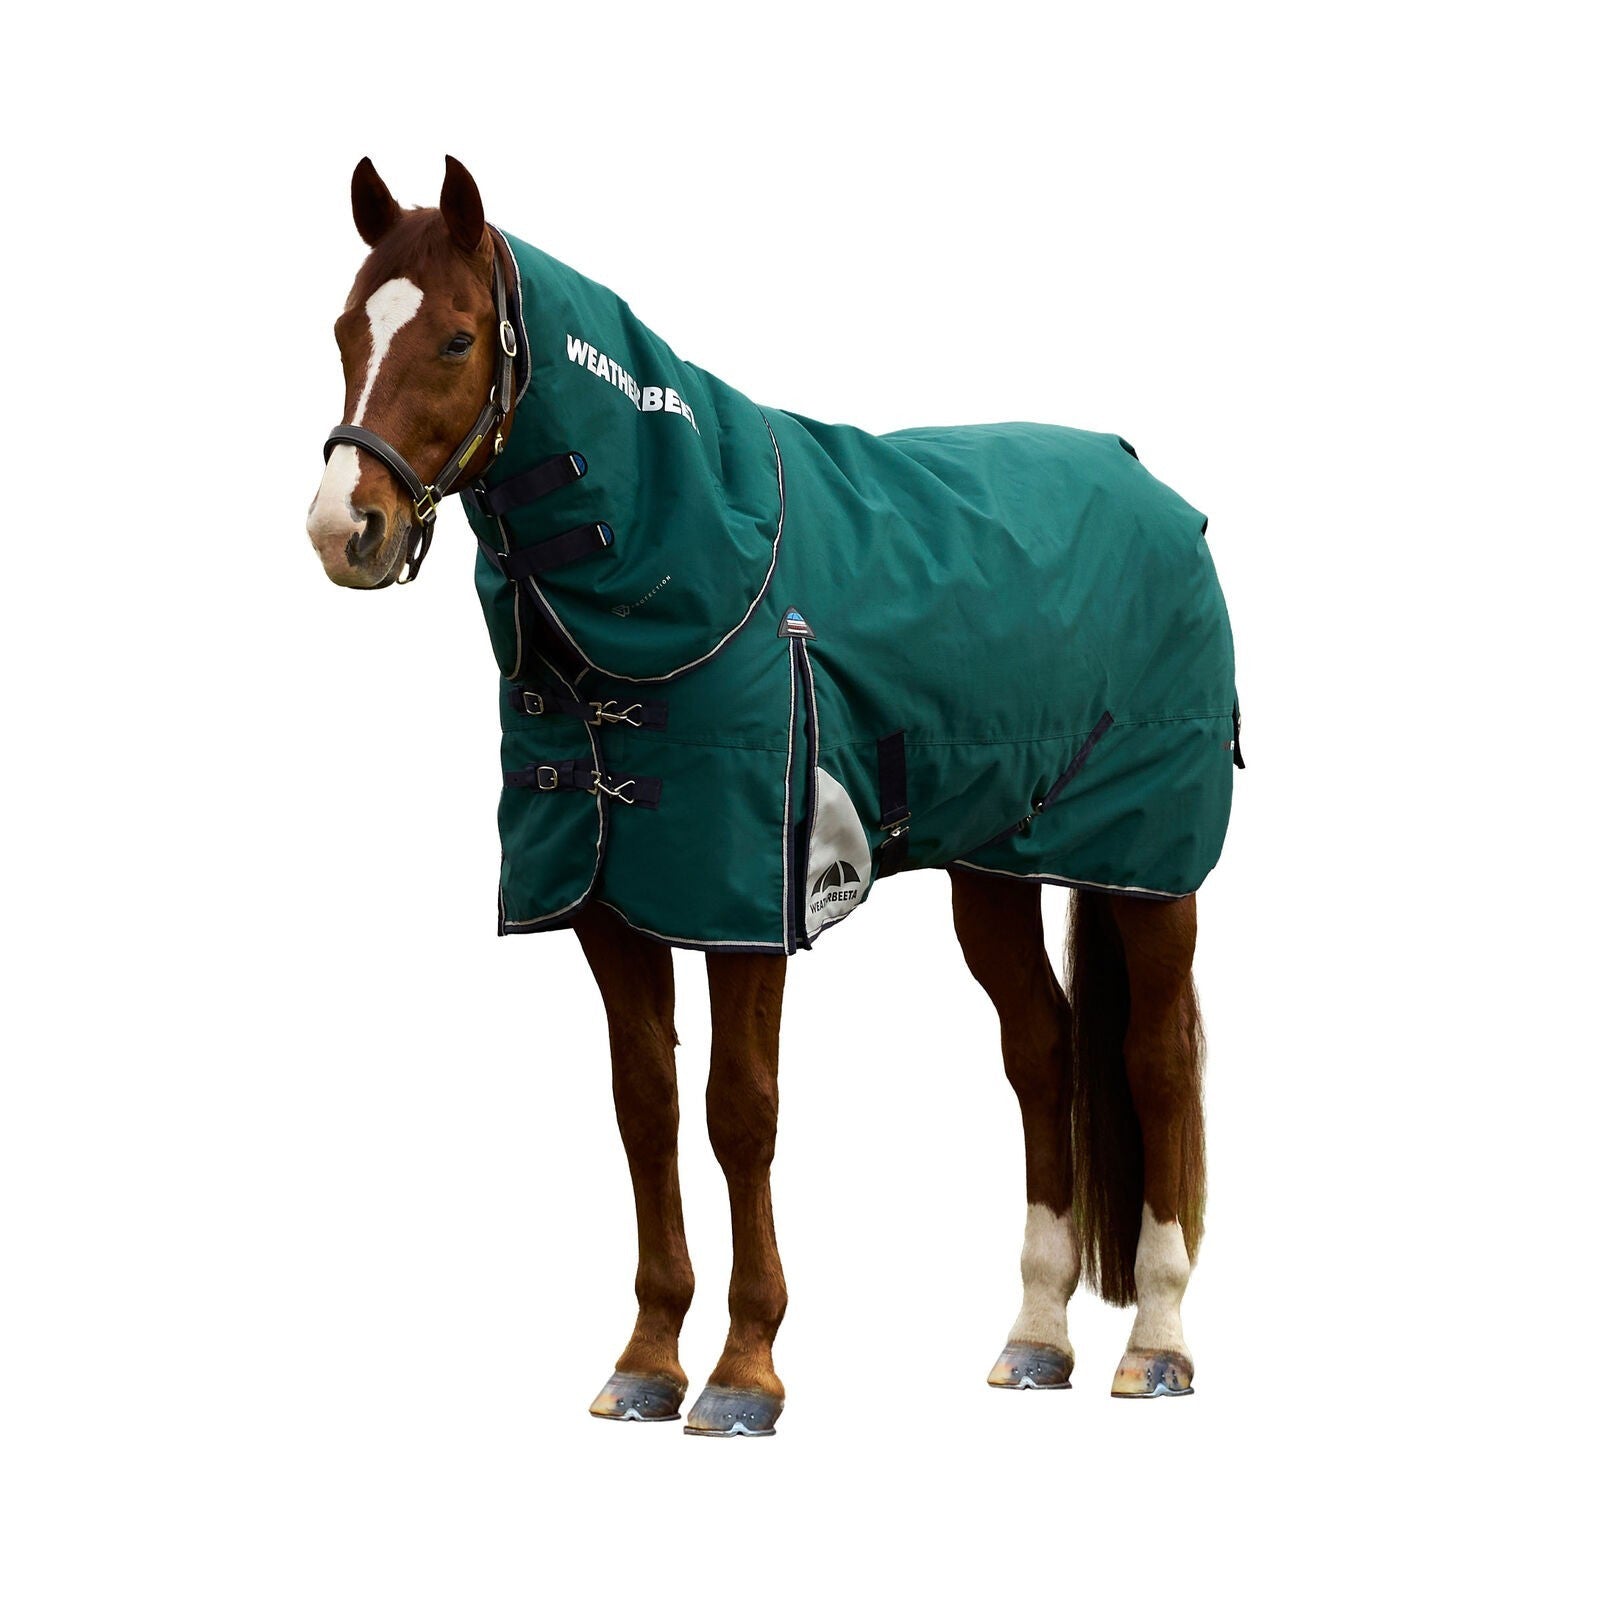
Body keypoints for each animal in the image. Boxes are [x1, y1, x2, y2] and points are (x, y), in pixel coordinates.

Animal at [306, 155, 1230, 1435]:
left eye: (452, 338)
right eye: (346, 329)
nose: (343, 528)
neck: (690, 556)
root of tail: (1151, 486)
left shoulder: (744, 898)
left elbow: (738, 1110)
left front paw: (744, 1371)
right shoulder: (611, 901)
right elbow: (644, 1106)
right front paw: (647, 1359)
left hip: (1148, 869)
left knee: (1155, 1063)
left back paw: (1157, 1343)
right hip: (995, 865)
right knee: (1042, 1051)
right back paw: (1036, 1337)